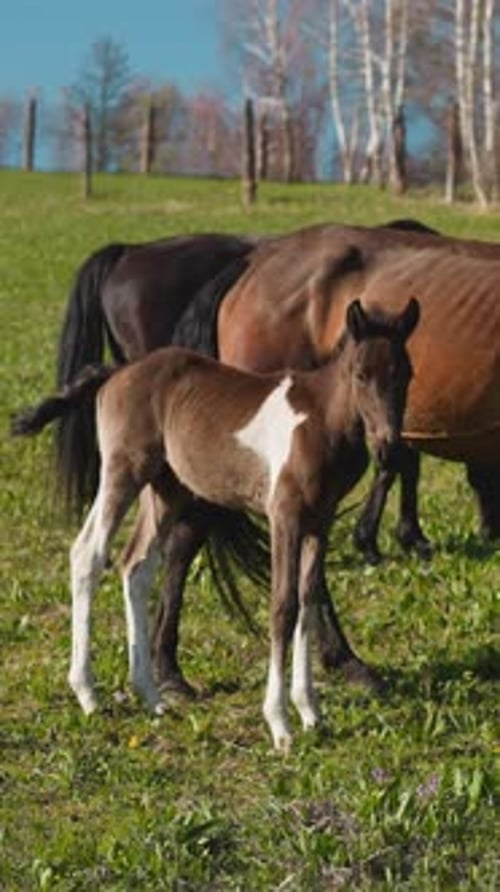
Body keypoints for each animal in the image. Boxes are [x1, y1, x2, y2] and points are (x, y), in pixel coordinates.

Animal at [12, 298, 419, 751]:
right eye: (360, 374)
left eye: (406, 374)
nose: (388, 448)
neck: (319, 419)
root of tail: (117, 372)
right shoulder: (284, 516)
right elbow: (283, 606)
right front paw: (280, 723)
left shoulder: (320, 521)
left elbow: (309, 602)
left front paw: (311, 712)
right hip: (123, 471)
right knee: (88, 554)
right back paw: (88, 694)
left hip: (166, 490)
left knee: (136, 566)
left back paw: (152, 697)